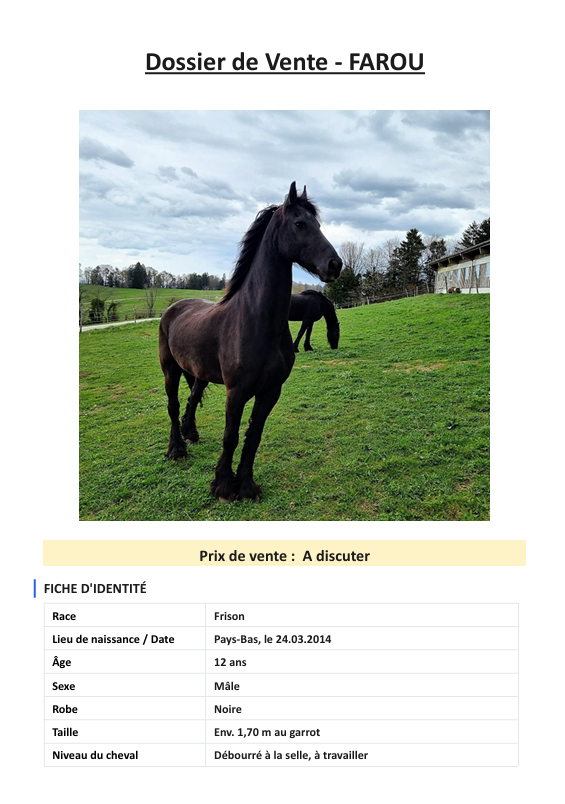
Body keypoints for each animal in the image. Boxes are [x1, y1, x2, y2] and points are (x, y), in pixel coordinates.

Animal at [159, 182, 342, 503]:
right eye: (300, 224)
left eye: (318, 224)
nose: (335, 264)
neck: (257, 322)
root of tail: (173, 308)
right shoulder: (237, 392)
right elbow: (230, 437)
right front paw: (223, 486)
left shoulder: (270, 391)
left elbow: (253, 436)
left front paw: (246, 486)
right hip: (170, 370)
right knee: (173, 405)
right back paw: (177, 449)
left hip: (199, 374)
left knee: (191, 401)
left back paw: (190, 434)